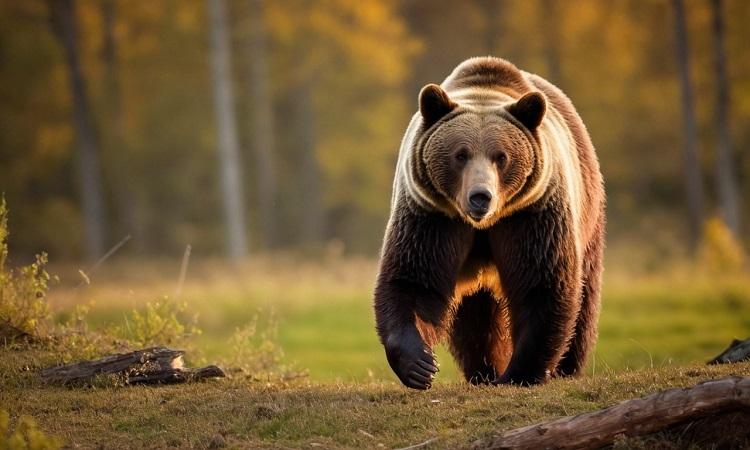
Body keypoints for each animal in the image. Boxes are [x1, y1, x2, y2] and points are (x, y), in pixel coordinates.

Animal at [373, 56, 605, 390]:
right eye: (460, 154)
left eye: (501, 156)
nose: (480, 197)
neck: (482, 226)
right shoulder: (432, 216)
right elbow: (414, 279)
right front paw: (420, 365)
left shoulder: (530, 216)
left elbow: (541, 283)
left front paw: (519, 373)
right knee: (476, 318)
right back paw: (483, 369)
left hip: (587, 214)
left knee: (584, 297)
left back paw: (566, 367)